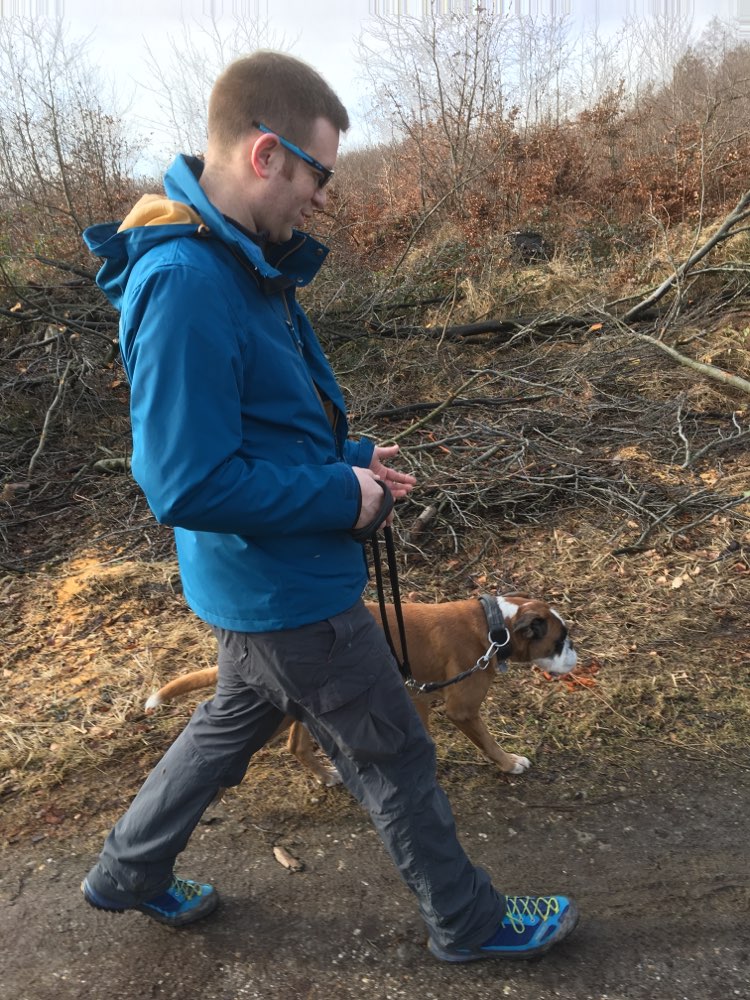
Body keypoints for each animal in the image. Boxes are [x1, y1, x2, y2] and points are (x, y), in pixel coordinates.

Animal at [145, 594, 576, 784]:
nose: (577, 658)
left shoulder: (418, 697)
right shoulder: (462, 710)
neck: (494, 625)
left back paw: (326, 775)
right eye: (560, 641)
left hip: (304, 709)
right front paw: (509, 763)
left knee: (296, 746)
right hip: (278, 711)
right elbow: (487, 741)